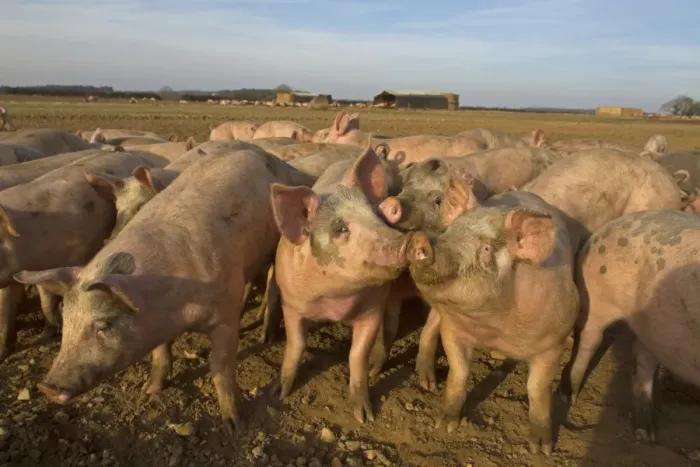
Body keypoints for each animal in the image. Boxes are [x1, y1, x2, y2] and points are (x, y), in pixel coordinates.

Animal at [269, 145, 413, 423]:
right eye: (339, 228)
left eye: (376, 214)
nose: (406, 240)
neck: (335, 301)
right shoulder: (291, 304)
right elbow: (295, 344)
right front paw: (279, 393)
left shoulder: (373, 309)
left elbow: (358, 354)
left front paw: (365, 417)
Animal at [406, 190, 579, 455]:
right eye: (448, 233)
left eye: (485, 248)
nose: (420, 240)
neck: (492, 327)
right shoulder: (453, 329)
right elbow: (459, 372)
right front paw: (444, 425)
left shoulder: (553, 342)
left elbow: (537, 389)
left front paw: (541, 450)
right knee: (432, 322)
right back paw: (427, 384)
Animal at [559, 209, 700, 442]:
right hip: (595, 294)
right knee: (588, 341)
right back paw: (567, 396)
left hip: (652, 330)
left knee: (642, 359)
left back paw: (646, 434)